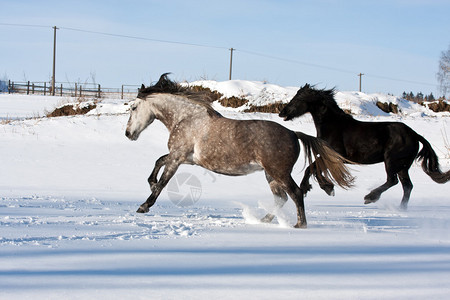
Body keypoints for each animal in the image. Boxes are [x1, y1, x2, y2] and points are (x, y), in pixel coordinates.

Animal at [280, 83, 448, 210]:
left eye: (298, 98)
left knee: (393, 181)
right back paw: (401, 208)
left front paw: (309, 188)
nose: (282, 113)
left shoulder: (336, 156)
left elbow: (311, 168)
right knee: (407, 186)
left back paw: (370, 197)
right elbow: (314, 169)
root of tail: (414, 134)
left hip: (392, 161)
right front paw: (327, 188)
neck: (333, 126)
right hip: (403, 166)